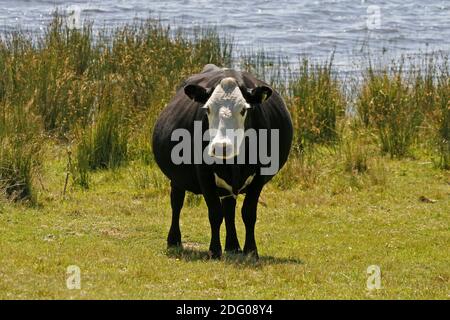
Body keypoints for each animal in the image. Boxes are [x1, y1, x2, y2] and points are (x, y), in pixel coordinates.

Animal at [153, 63, 294, 258]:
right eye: (207, 109)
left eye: (244, 109)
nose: (221, 147)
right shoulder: (204, 174)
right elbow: (214, 213)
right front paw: (214, 250)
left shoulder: (260, 176)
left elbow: (248, 213)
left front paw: (251, 250)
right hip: (176, 178)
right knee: (177, 203)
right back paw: (174, 240)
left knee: (229, 207)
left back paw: (233, 246)